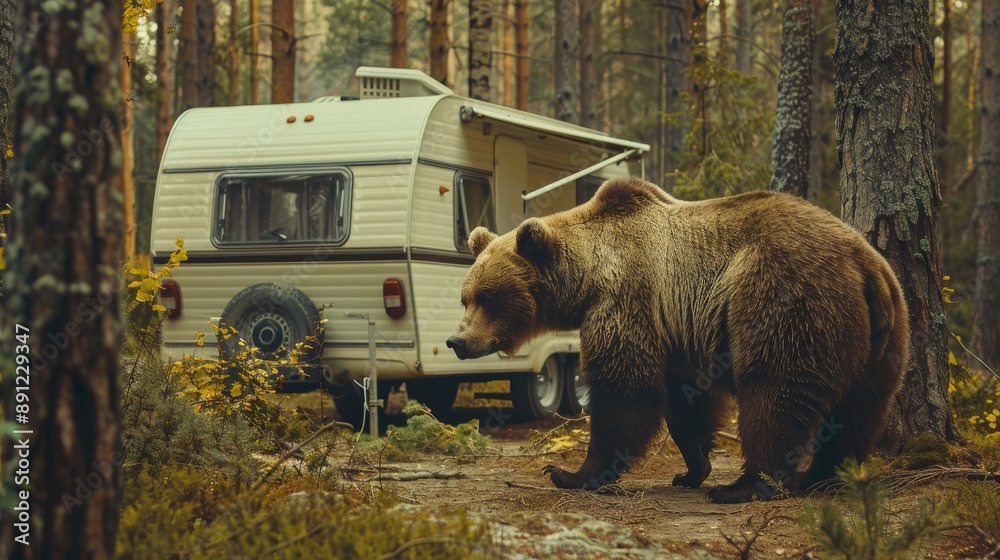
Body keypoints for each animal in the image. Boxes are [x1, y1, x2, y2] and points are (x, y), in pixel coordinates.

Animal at [446, 177, 909, 504]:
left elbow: (624, 391)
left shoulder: (628, 299)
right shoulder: (676, 330)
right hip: (882, 336)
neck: (587, 276)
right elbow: (687, 402)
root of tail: (863, 264)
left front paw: (571, 473)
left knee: (774, 392)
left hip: (784, 297)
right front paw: (692, 468)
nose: (457, 341)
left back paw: (746, 486)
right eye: (465, 296)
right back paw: (826, 476)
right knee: (860, 409)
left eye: (487, 297)